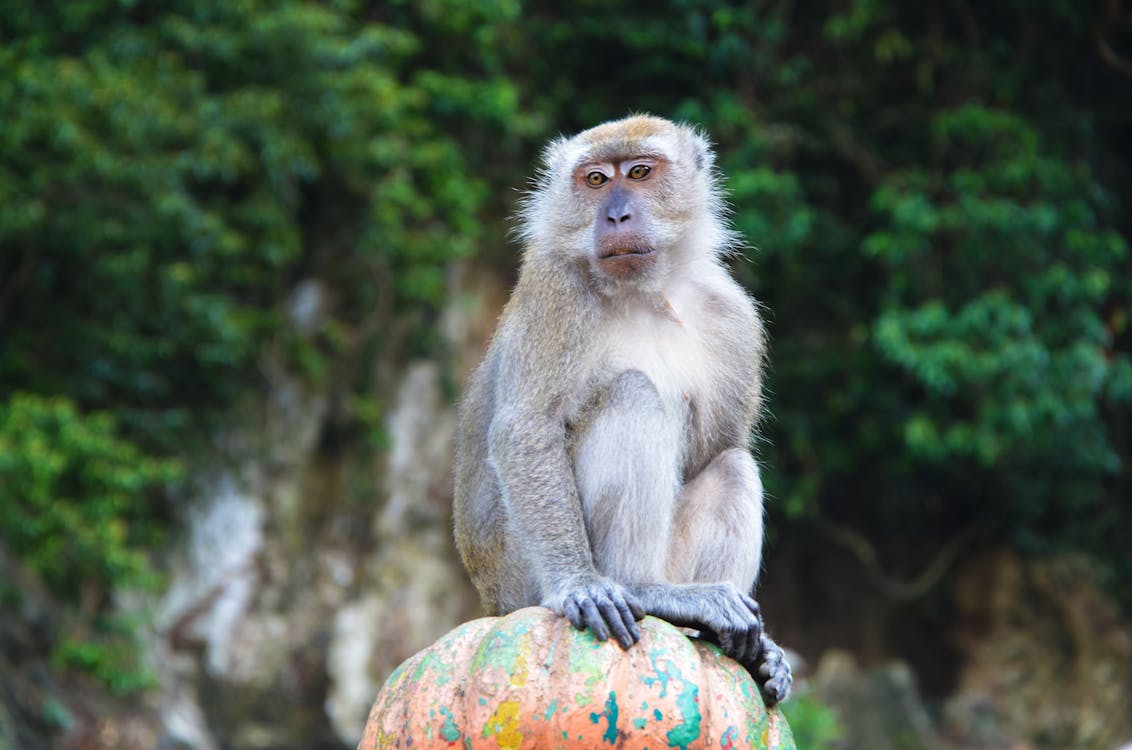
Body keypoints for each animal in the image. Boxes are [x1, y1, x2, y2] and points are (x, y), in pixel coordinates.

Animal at [455, 114, 792, 705]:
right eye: (595, 179)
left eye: (639, 173)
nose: (615, 215)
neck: (643, 292)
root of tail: (491, 600)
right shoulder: (556, 288)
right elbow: (526, 429)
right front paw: (580, 583)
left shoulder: (733, 316)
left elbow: (714, 452)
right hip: (522, 576)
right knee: (633, 394)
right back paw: (640, 589)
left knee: (731, 464)